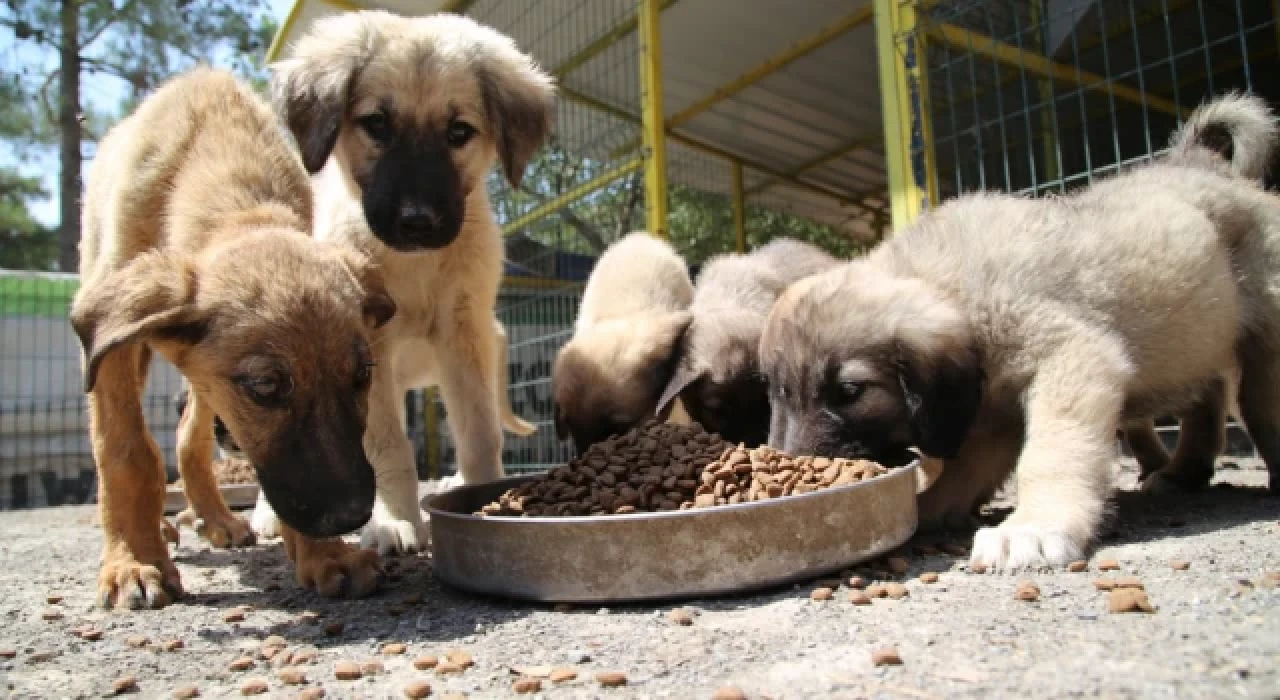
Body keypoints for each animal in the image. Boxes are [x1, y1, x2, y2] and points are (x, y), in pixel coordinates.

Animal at [68, 68, 389, 611]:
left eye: (362, 375)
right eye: (264, 387)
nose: (350, 516)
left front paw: (327, 556)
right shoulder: (113, 341)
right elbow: (127, 452)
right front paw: (134, 561)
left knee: (189, 438)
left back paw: (217, 520)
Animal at [264, 10, 550, 555]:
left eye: (459, 131)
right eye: (377, 124)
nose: (417, 222)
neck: (414, 267)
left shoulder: (464, 333)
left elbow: (480, 433)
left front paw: (484, 499)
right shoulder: (369, 348)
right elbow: (388, 445)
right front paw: (395, 521)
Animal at [752, 93, 1280, 573]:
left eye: (849, 392)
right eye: (778, 392)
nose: (794, 462)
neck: (953, 284)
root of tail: (1205, 165)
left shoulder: (1072, 359)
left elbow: (1051, 451)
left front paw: (1035, 527)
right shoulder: (991, 413)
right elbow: (965, 470)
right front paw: (927, 509)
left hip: (1261, 337)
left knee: (1256, 402)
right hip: (1199, 337)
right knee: (1207, 394)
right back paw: (1184, 472)